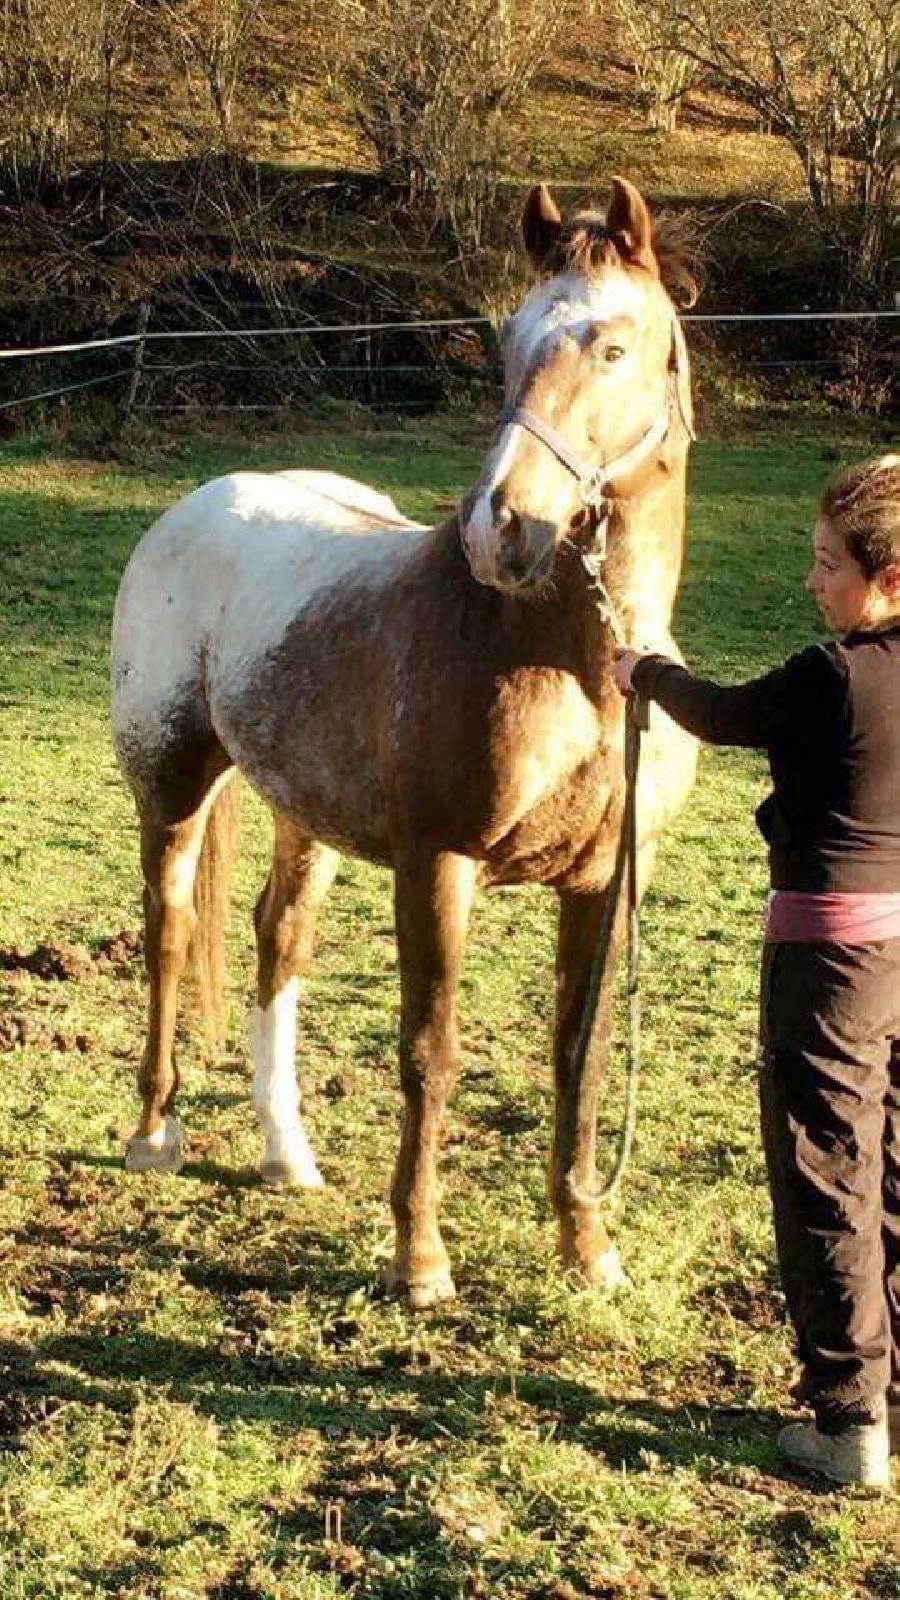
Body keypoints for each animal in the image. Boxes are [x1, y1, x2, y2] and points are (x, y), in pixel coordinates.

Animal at [112, 178, 698, 1299]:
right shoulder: (439, 864)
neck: (573, 664)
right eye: (511, 339)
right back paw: (155, 1134)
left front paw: (587, 1248)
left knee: (279, 941)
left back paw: (288, 1156)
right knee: (167, 933)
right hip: (172, 784)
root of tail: (200, 502)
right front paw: (420, 1259)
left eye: (613, 346)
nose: (500, 529)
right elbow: (431, 1048)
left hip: (307, 819)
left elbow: (581, 1052)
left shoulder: (606, 882)